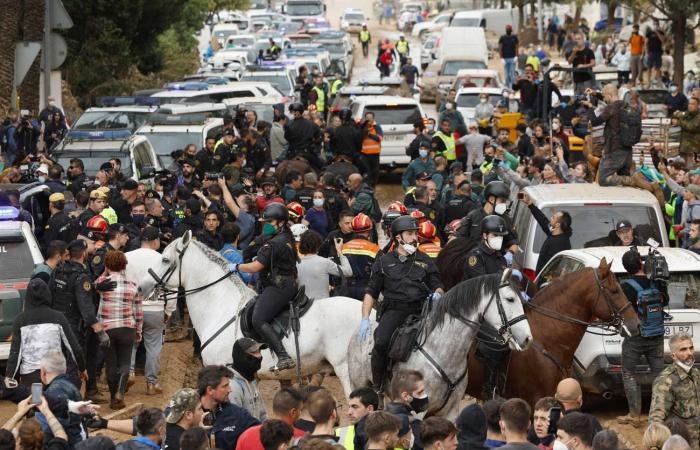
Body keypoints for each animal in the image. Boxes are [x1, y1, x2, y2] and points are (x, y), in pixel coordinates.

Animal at [348, 270, 532, 422]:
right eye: (510, 299)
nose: (527, 338)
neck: (442, 352)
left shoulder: (450, 412)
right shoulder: (417, 411)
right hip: (360, 386)